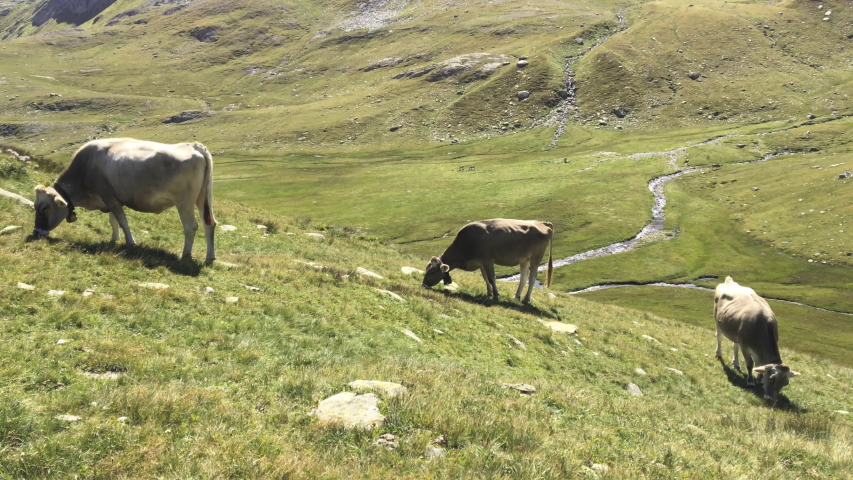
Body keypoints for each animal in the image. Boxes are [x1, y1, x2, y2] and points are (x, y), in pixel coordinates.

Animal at [32, 138, 217, 263]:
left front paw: (130, 242)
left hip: (184, 201)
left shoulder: (109, 196)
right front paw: (114, 239)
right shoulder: (111, 199)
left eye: (44, 208)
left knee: (191, 226)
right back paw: (210, 257)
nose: (36, 233)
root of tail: (194, 146)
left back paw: (185, 255)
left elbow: (122, 220)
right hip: (203, 197)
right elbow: (113, 221)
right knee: (209, 223)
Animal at [422, 219, 553, 303]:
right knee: (523, 277)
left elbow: (491, 278)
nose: (423, 284)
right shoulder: (480, 263)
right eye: (426, 268)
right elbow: (485, 278)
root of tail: (542, 222)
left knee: (532, 278)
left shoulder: (488, 260)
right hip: (524, 259)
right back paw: (516, 296)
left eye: (433, 271)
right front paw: (489, 293)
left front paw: (495, 295)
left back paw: (526, 299)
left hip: (536, 257)